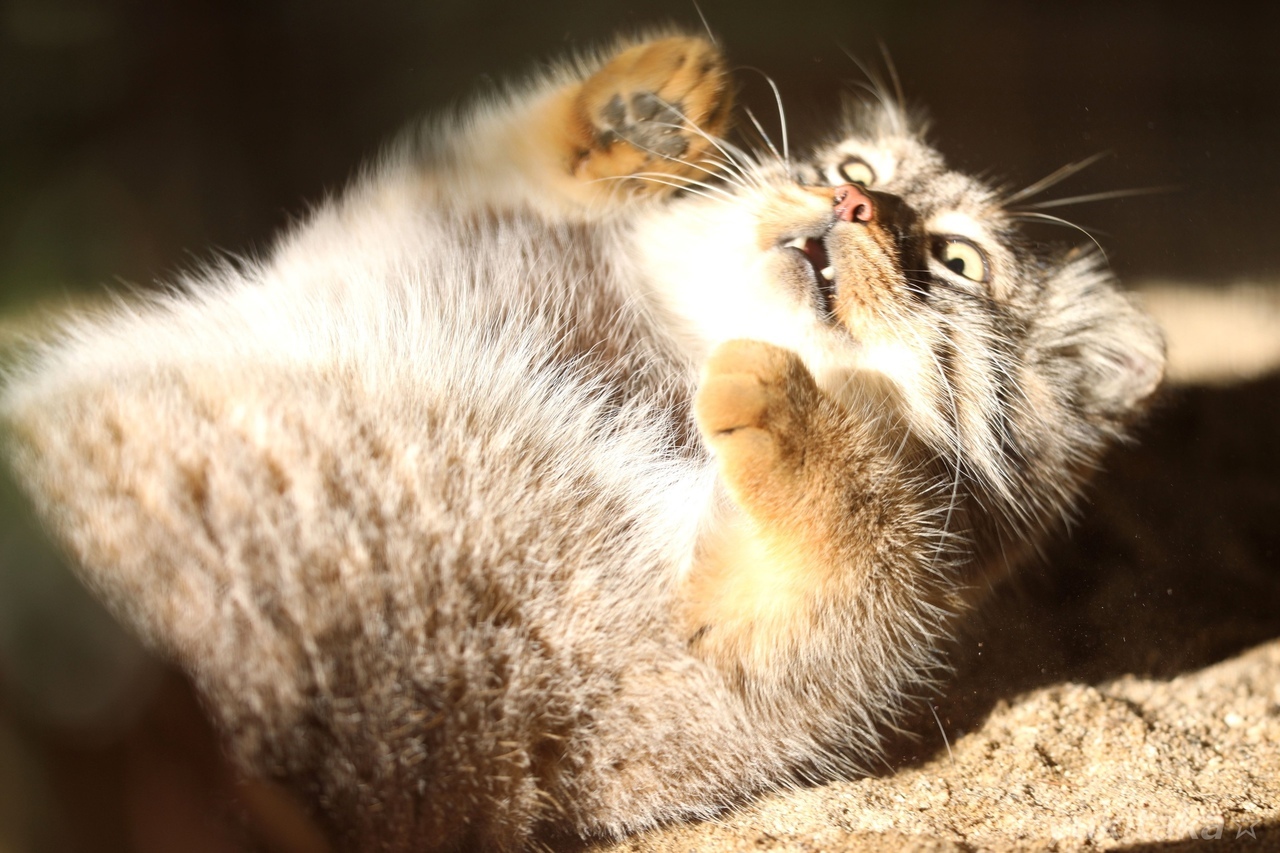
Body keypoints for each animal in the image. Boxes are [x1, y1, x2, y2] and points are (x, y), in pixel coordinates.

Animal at [0, 31, 1162, 850]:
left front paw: (791, 403)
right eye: (851, 159)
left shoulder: (696, 678)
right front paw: (642, 111)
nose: (848, 199)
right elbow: (456, 166)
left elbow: (860, 555)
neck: (653, 346)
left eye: (955, 259)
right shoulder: (387, 241)